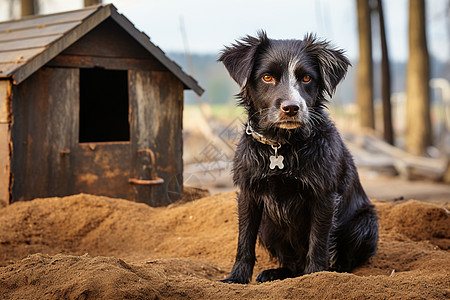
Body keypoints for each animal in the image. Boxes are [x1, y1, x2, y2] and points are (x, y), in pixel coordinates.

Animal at [218, 32, 376, 284]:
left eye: (306, 78)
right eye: (267, 77)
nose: (291, 108)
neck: (281, 145)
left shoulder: (324, 197)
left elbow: (318, 242)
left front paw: (316, 277)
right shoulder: (248, 194)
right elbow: (244, 241)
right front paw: (237, 278)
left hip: (364, 223)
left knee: (342, 259)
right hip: (268, 227)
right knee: (291, 263)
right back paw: (277, 273)